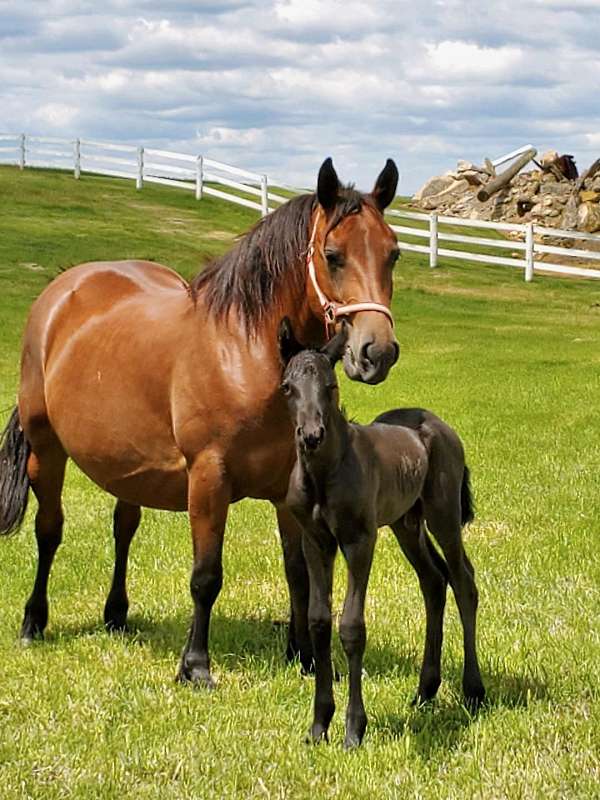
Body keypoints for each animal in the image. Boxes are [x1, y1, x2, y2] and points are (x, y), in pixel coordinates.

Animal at [1, 158, 404, 688]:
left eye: (393, 254)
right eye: (333, 255)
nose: (377, 352)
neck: (246, 350)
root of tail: (61, 291)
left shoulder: (287, 487)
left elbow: (297, 571)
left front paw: (303, 656)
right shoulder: (209, 479)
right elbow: (206, 576)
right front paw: (195, 665)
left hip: (127, 463)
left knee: (123, 527)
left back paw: (116, 614)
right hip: (46, 449)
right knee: (48, 530)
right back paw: (33, 622)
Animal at [278, 318, 486, 752]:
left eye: (331, 386)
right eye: (287, 387)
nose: (311, 435)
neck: (325, 473)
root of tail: (439, 424)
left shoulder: (359, 540)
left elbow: (352, 627)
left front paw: (354, 729)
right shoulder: (315, 541)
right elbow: (319, 620)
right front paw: (319, 724)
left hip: (443, 515)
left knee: (463, 580)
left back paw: (473, 691)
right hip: (406, 523)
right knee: (433, 581)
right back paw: (425, 690)